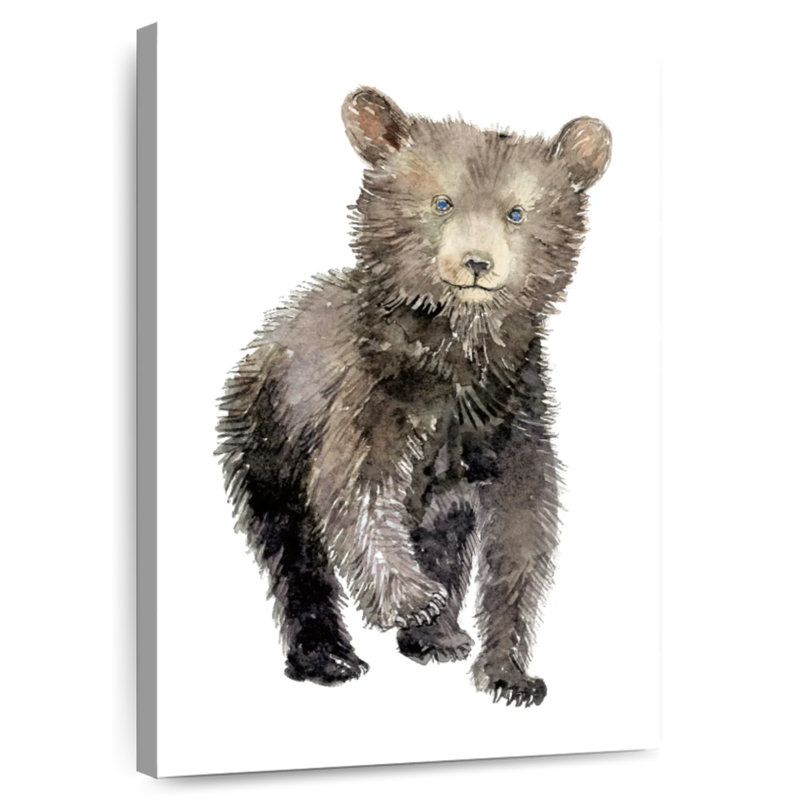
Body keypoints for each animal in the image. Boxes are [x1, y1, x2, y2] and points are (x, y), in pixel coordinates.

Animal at [216, 87, 611, 707]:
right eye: (442, 202)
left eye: (516, 213)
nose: (476, 263)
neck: (458, 358)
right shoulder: (372, 398)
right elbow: (356, 493)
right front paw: (411, 600)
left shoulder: (514, 418)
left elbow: (522, 534)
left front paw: (511, 674)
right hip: (265, 437)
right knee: (292, 547)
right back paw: (331, 657)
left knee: (443, 538)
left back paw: (439, 637)